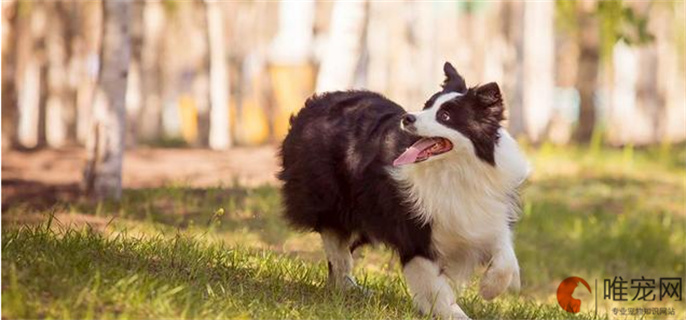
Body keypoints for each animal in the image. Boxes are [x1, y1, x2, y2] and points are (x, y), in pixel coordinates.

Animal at [280, 62, 532, 320]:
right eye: (426, 105)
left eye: (445, 116)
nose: (408, 118)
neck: (454, 171)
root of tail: (318, 101)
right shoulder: (415, 231)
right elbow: (436, 286)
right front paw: (453, 312)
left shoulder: (482, 215)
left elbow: (505, 254)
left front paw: (491, 288)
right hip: (330, 197)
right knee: (335, 241)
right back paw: (343, 282)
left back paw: (350, 289)